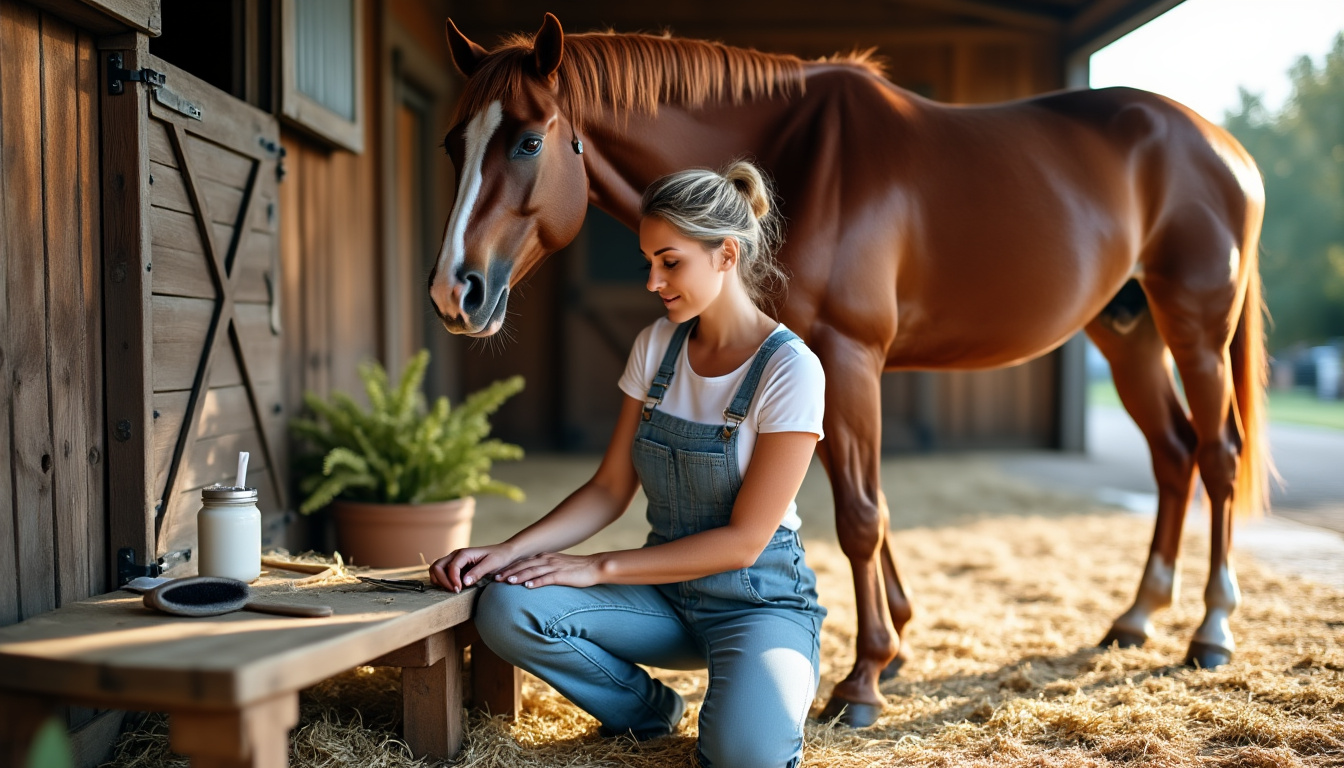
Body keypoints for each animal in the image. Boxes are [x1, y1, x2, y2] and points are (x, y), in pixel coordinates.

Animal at [428, 14, 1269, 727]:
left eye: (529, 142)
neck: (799, 159)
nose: (452, 292)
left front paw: (862, 681)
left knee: (1218, 457)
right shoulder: (820, 373)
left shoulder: (847, 356)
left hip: (1194, 329)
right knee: (1173, 456)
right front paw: (894, 647)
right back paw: (1136, 617)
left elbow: (861, 516)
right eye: (453, 145)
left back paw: (1211, 631)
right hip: (1129, 336)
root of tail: (1224, 148)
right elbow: (870, 504)